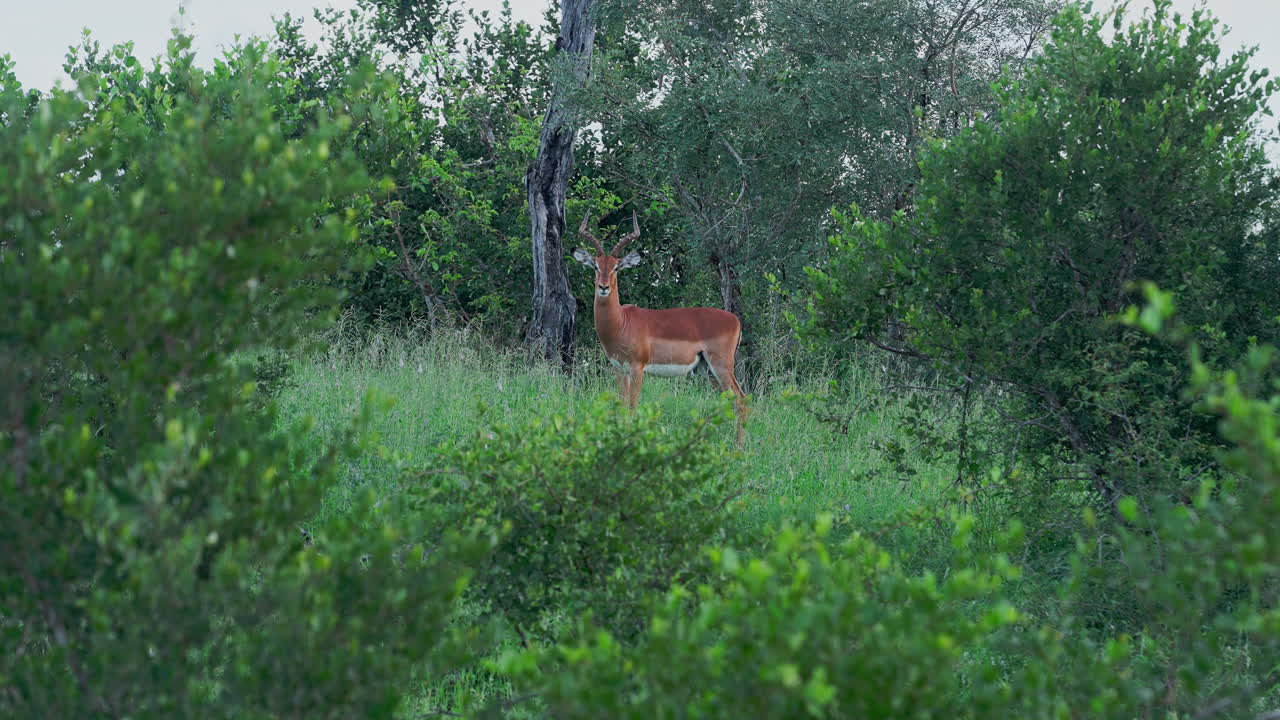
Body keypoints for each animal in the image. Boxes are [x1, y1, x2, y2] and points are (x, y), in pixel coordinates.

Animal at [572, 212, 748, 444]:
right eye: (595, 266)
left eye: (616, 267)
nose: (603, 287)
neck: (620, 323)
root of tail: (735, 320)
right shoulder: (618, 368)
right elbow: (620, 406)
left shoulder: (637, 368)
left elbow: (632, 407)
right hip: (708, 370)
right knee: (730, 403)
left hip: (721, 366)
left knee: (741, 401)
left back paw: (739, 447)